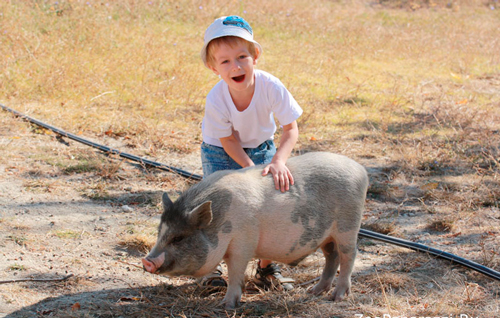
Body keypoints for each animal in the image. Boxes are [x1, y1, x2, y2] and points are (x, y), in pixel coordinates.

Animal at [143, 152, 370, 308]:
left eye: (178, 238)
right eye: (160, 232)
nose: (147, 261)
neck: (222, 221)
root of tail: (361, 170)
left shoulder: (242, 245)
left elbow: (235, 273)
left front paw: (226, 305)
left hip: (348, 227)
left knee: (348, 256)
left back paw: (337, 297)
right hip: (326, 236)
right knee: (332, 257)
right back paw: (312, 292)